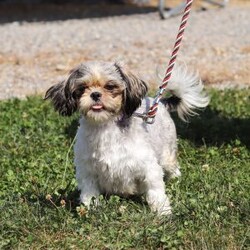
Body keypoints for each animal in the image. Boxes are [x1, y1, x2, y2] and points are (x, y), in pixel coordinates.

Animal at [45, 61, 209, 215]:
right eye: (82, 88)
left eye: (110, 86)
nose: (95, 94)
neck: (105, 127)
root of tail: (159, 102)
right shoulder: (87, 171)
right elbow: (89, 193)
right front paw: (89, 209)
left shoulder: (149, 167)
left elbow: (156, 191)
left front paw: (163, 212)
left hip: (166, 154)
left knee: (172, 166)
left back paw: (175, 178)